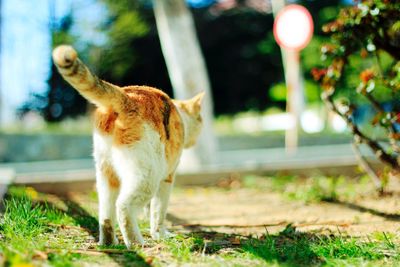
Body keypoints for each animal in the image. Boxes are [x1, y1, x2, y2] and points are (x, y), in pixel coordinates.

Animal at [52, 45, 203, 248]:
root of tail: (127, 96)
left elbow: (150, 209)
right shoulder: (167, 178)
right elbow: (159, 211)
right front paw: (160, 235)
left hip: (106, 174)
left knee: (106, 214)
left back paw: (109, 242)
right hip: (147, 176)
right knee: (123, 207)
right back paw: (137, 243)